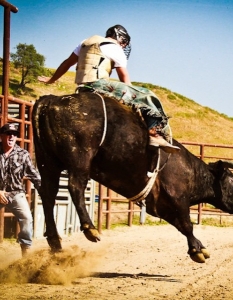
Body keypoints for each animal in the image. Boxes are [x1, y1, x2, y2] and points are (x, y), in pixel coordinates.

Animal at [31, 92, 233, 264]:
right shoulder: (178, 198)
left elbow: (182, 226)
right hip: (79, 158)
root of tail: (52, 99)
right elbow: (187, 224)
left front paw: (198, 247)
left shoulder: (161, 208)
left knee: (48, 196)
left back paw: (55, 241)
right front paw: (197, 250)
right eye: (232, 180)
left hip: (48, 163)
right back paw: (90, 228)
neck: (192, 171)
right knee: (75, 187)